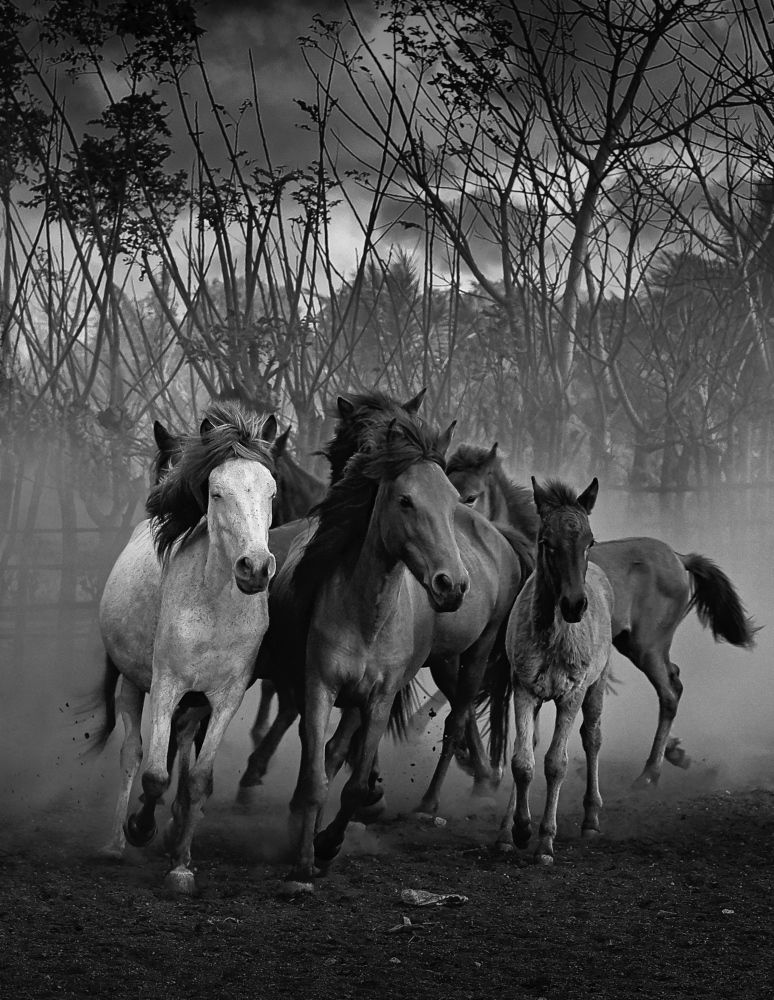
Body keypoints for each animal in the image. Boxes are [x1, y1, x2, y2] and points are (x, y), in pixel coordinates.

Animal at [97, 403, 277, 892]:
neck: (215, 608)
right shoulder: (167, 685)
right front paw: (140, 828)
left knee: (178, 750)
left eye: (272, 492)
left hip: (194, 705)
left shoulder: (225, 699)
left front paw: (181, 864)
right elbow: (155, 773)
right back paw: (115, 843)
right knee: (131, 754)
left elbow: (197, 779)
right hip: (131, 684)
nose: (255, 568)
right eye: (216, 493)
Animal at [280, 409, 521, 889]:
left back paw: (434, 802)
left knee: (457, 719)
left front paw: (328, 843)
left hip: (476, 653)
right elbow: (317, 774)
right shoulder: (321, 687)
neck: (366, 614)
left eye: (454, 502)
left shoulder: (381, 697)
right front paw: (303, 856)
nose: (452, 585)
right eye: (406, 500)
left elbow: (354, 786)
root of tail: (500, 537)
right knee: (335, 751)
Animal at [447, 443, 757, 788]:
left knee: (670, 691)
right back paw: (672, 754)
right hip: (634, 645)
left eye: (471, 496)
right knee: (673, 678)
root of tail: (680, 558)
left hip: (647, 647)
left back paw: (649, 773)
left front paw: (487, 771)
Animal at [496, 478, 613, 863]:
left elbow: (556, 763)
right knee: (528, 743)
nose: (575, 605)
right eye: (546, 542)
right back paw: (506, 831)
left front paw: (545, 843)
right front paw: (519, 829)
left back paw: (591, 820)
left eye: (589, 541)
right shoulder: (523, 688)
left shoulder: (571, 694)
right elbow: (522, 760)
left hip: (597, 684)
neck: (552, 637)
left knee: (592, 737)